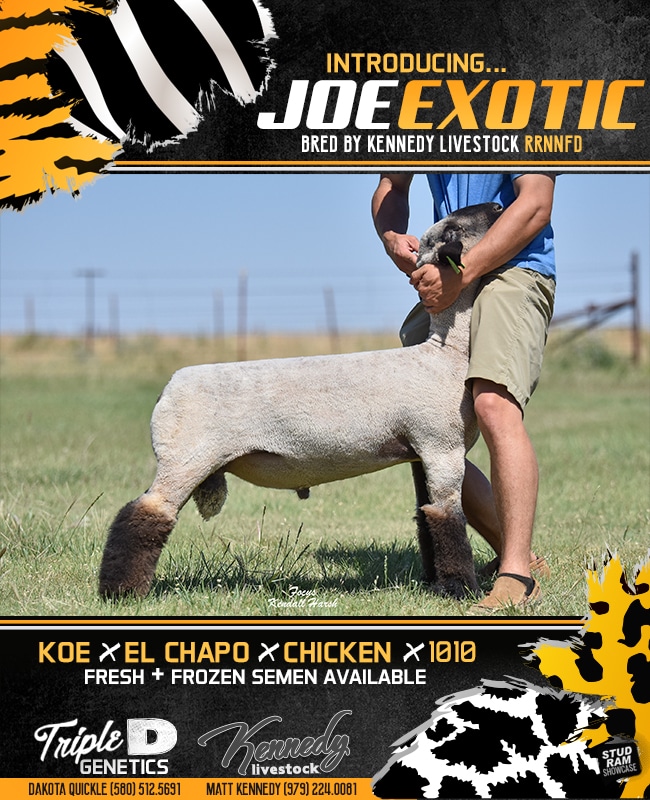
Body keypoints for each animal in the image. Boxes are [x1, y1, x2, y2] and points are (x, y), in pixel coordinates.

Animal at [99, 202, 504, 600]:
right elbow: (448, 520)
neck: (445, 352)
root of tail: (168, 387)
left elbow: (427, 518)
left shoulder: (419, 452)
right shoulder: (441, 447)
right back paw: (120, 592)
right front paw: (461, 590)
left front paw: (435, 585)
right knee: (144, 514)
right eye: (454, 226)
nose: (499, 206)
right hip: (186, 459)